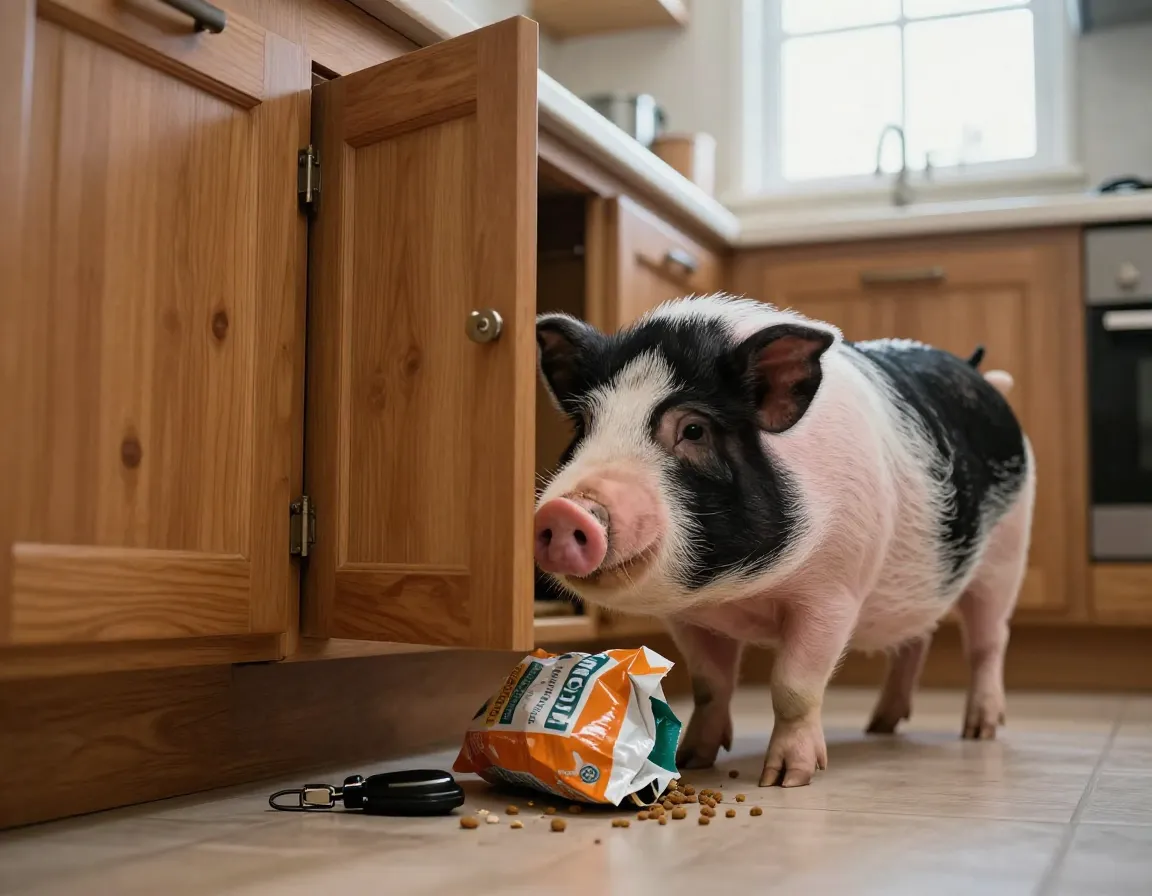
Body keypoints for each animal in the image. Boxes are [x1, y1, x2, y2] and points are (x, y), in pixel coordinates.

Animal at [533, 295, 1035, 788]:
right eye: (584, 424)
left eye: (693, 430)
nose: (565, 511)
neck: (738, 592)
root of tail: (981, 374)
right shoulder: (686, 616)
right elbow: (710, 685)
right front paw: (693, 761)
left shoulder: (834, 593)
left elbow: (794, 687)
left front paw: (784, 780)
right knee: (917, 638)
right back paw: (880, 726)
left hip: (1007, 555)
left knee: (989, 641)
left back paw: (979, 731)